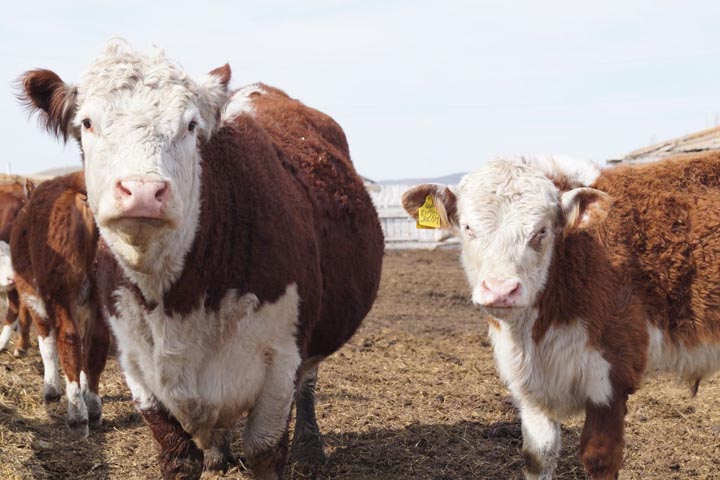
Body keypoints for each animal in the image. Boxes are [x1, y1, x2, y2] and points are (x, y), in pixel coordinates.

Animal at [7, 172, 109, 438]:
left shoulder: (34, 297)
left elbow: (47, 343)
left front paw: (51, 389)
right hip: (102, 292)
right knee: (96, 343)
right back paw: (93, 405)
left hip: (58, 291)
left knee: (67, 340)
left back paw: (77, 415)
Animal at [19, 41, 386, 480]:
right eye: (87, 123)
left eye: (191, 125)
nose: (143, 191)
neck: (179, 297)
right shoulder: (138, 366)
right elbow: (178, 455)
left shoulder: (282, 361)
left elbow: (265, 449)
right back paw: (217, 451)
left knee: (309, 382)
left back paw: (309, 447)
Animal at [402, 154, 720, 480]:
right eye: (468, 228)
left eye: (541, 231)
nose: (501, 290)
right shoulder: (530, 389)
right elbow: (538, 454)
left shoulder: (612, 375)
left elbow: (600, 458)